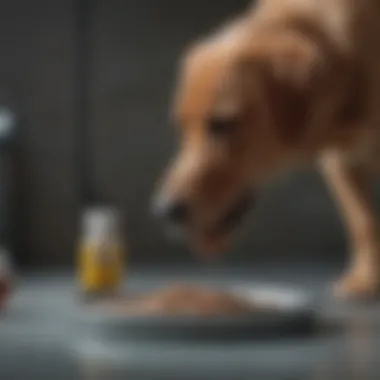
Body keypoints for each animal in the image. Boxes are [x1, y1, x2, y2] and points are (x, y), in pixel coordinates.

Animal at [153, 0, 380, 298]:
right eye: (181, 129)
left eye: (222, 124)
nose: (164, 212)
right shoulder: (341, 162)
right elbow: (362, 222)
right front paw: (367, 278)